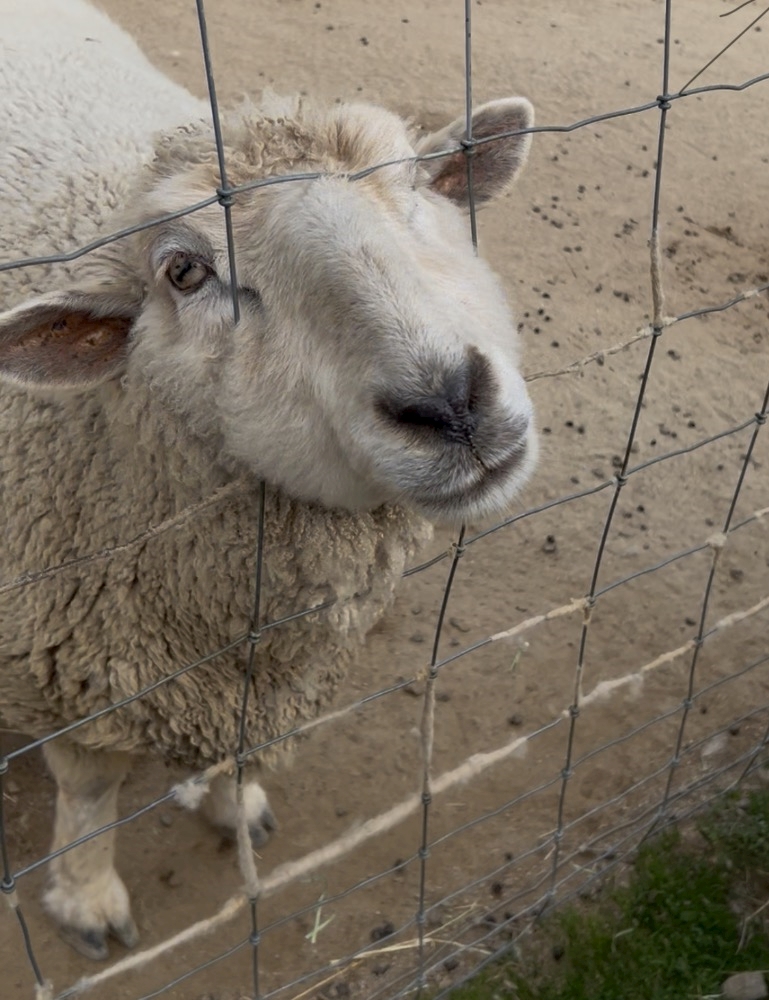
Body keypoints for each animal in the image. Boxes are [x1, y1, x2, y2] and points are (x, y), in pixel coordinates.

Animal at [0, 0, 537, 962]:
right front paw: (87, 898)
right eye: (184, 271)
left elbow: (242, 754)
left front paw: (231, 804)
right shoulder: (67, 672)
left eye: (421, 186)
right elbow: (92, 793)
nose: (448, 401)